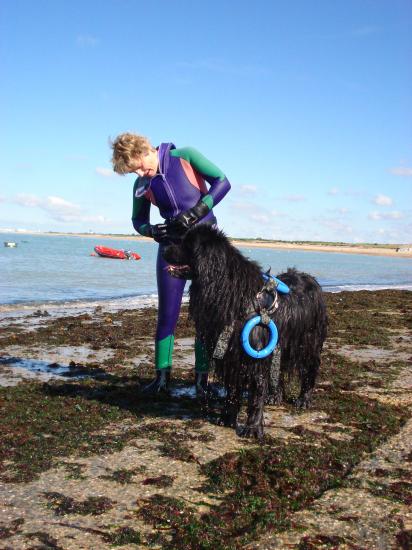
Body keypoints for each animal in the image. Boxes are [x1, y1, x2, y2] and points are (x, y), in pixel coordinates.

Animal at [163, 224, 326, 440]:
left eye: (187, 243)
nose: (164, 248)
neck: (231, 293)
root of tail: (312, 279)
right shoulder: (231, 355)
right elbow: (232, 390)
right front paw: (227, 418)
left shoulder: (255, 354)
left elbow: (256, 391)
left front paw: (252, 428)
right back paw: (275, 396)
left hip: (308, 341)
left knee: (310, 368)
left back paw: (303, 399)